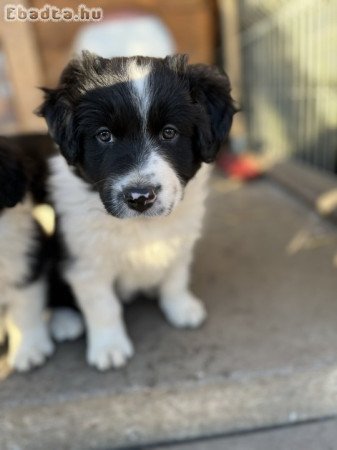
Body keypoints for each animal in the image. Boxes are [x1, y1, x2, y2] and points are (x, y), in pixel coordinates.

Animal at [37, 52, 236, 370]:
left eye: (169, 133)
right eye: (104, 136)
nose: (140, 197)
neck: (141, 226)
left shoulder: (181, 239)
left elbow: (176, 276)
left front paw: (180, 307)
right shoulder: (86, 261)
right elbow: (103, 305)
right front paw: (109, 347)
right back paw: (64, 321)